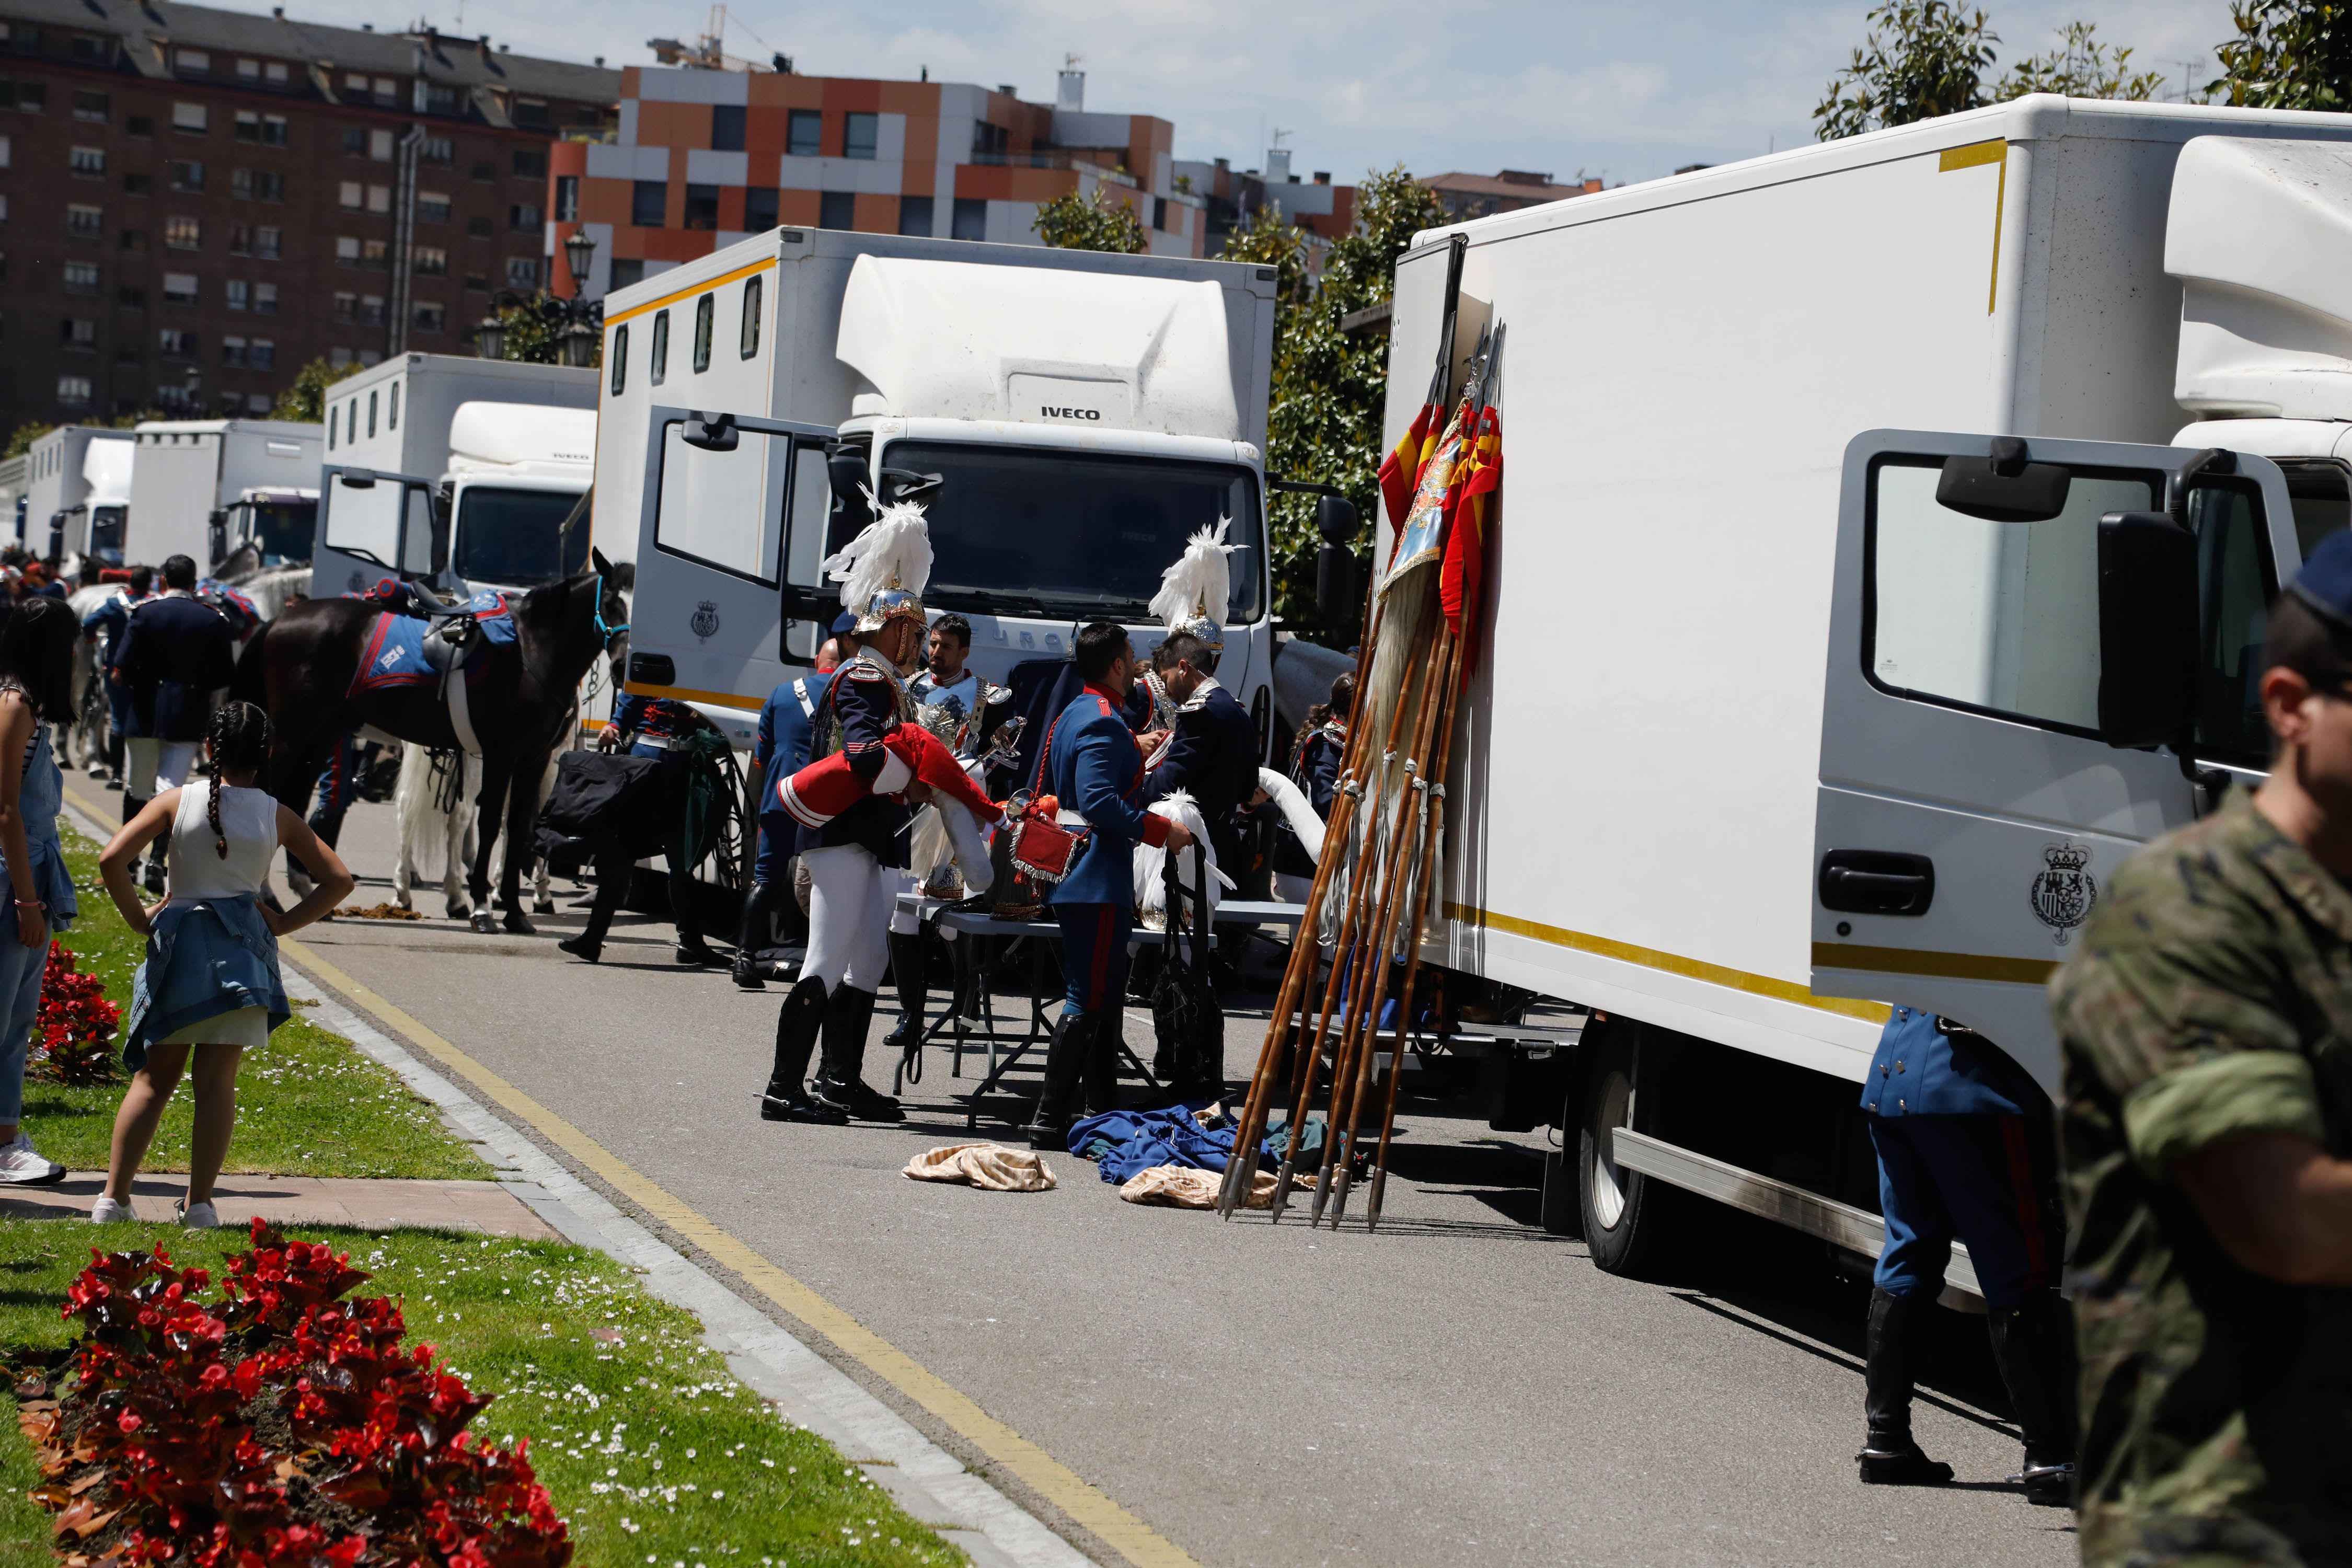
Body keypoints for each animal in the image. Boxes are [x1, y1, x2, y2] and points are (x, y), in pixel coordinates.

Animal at [234, 552, 630, 931]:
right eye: (611, 600)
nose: (625, 667)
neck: (532, 649)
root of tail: (279, 621)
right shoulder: (501, 755)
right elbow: (488, 824)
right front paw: (483, 906)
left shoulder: (534, 760)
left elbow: (519, 827)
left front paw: (514, 912)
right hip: (291, 736)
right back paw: (269, 897)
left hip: (318, 737)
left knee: (296, 800)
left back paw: (305, 890)